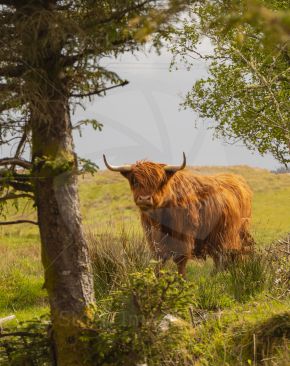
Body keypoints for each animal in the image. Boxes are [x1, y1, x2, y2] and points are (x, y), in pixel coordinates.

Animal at [103, 153, 253, 276]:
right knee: (220, 259)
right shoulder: (152, 238)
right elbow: (158, 260)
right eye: (134, 180)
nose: (144, 199)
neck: (160, 219)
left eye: (159, 181)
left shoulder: (184, 237)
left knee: (230, 256)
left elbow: (180, 262)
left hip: (232, 235)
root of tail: (237, 179)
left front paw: (181, 282)